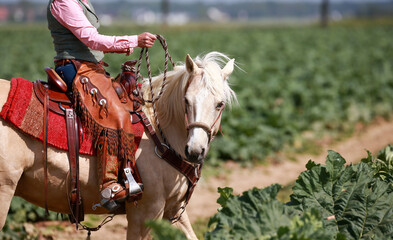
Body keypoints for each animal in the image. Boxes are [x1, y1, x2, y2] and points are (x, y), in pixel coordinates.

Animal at [0, 51, 236, 239]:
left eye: (220, 104)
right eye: (186, 101)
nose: (194, 151)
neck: (159, 130)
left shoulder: (174, 211)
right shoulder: (145, 213)